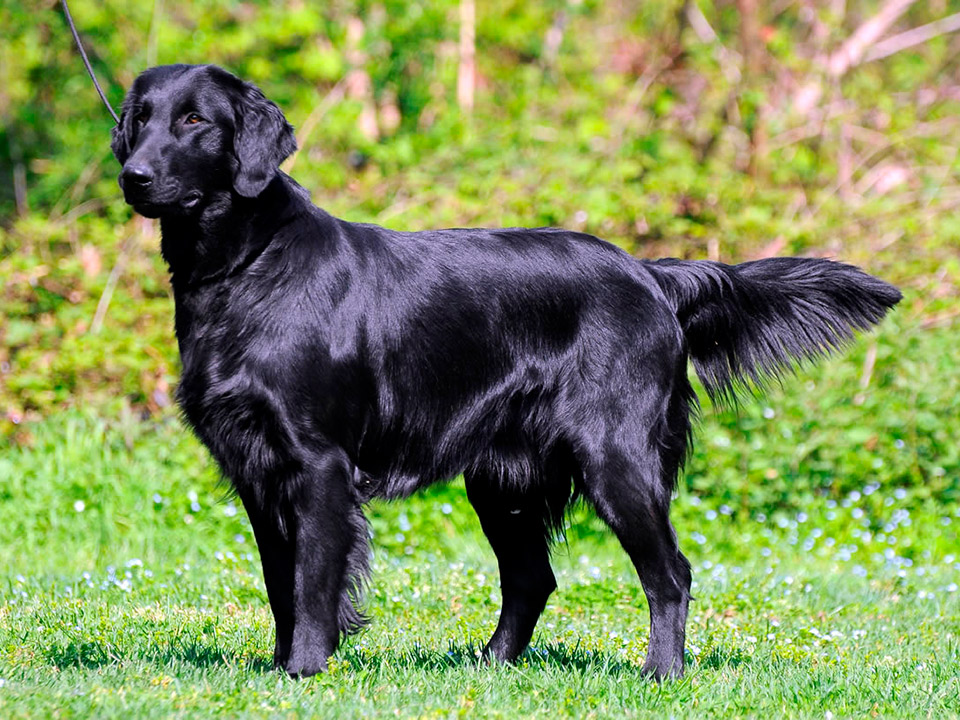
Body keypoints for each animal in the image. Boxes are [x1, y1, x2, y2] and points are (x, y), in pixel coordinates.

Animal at [112, 64, 900, 676]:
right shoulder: (257, 469)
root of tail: (650, 274)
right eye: (139, 118)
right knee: (532, 578)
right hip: (503, 478)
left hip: (614, 455)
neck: (246, 266)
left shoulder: (318, 464)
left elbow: (312, 583)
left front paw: (304, 671)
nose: (132, 175)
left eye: (194, 121)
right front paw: (279, 670)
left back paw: (661, 674)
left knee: (669, 574)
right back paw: (490, 666)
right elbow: (282, 581)